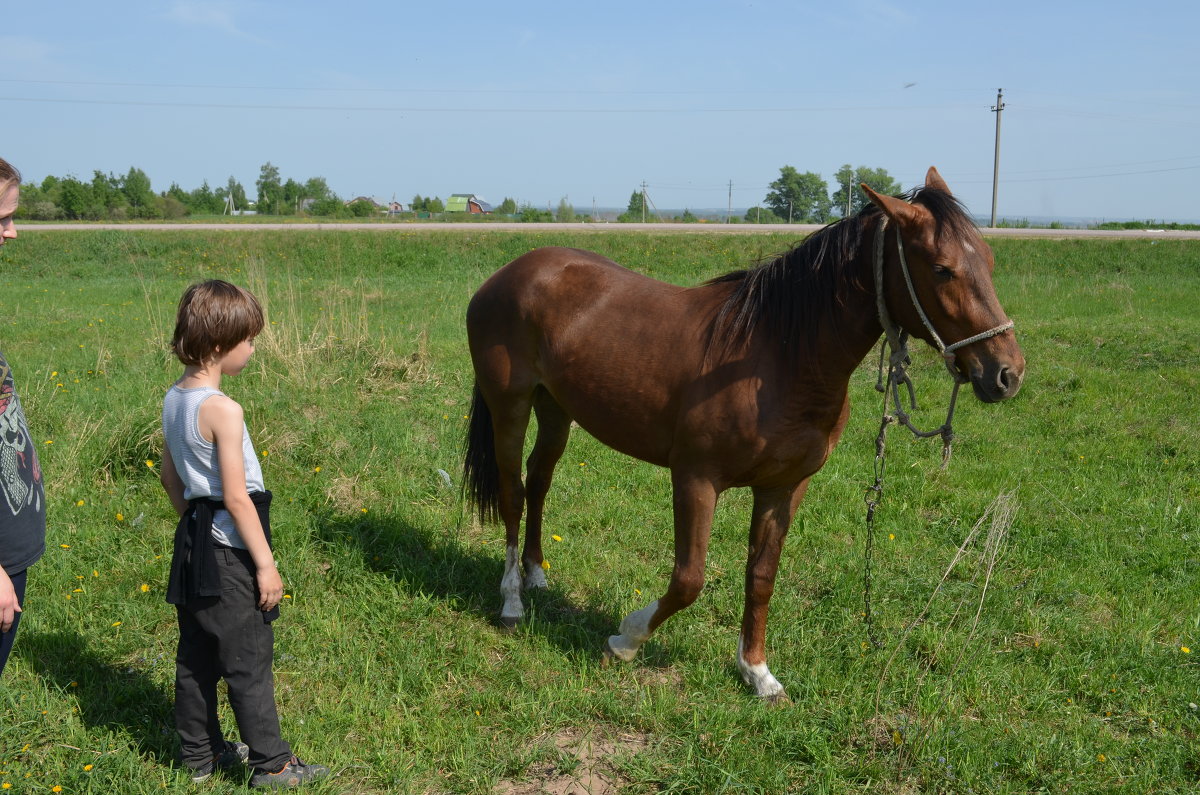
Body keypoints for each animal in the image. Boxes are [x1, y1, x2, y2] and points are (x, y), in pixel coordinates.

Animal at [458, 169, 1022, 706]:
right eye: (942, 268)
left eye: (991, 260)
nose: (1007, 374)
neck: (774, 357)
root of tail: (509, 274)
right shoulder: (695, 479)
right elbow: (688, 580)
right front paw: (626, 639)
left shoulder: (783, 487)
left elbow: (761, 577)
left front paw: (757, 672)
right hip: (510, 406)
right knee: (512, 494)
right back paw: (512, 600)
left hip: (557, 411)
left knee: (539, 481)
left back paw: (536, 573)